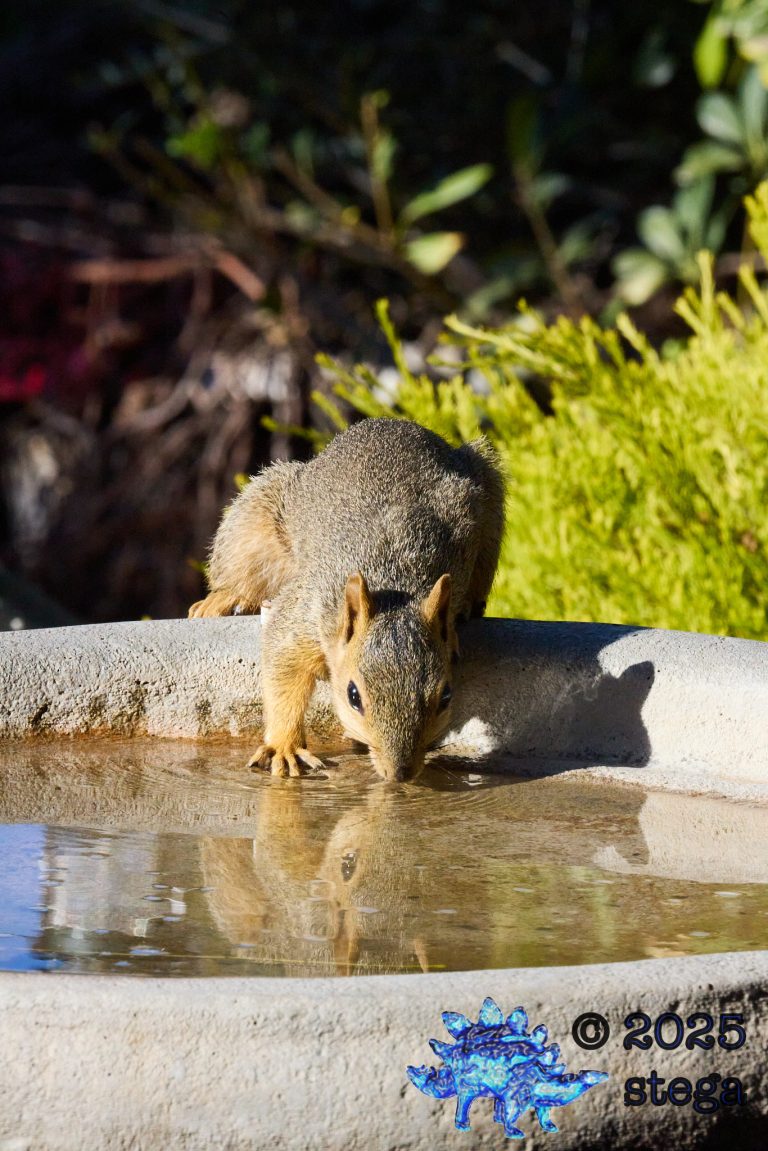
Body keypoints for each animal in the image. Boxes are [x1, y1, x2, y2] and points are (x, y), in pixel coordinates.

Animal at [189, 417, 504, 781]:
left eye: (446, 696)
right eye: (354, 696)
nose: (400, 773)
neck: (394, 581)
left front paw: (450, 630)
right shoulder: (307, 615)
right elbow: (283, 668)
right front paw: (284, 745)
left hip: (489, 488)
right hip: (255, 522)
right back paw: (223, 599)